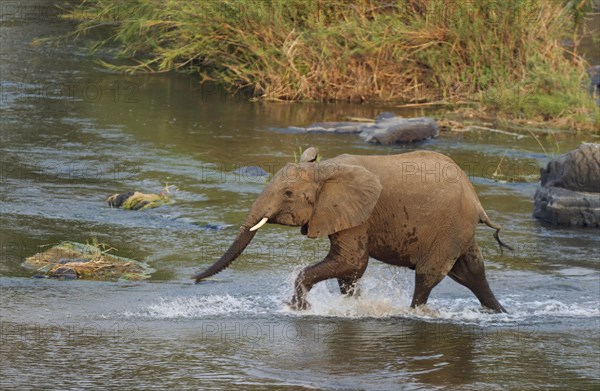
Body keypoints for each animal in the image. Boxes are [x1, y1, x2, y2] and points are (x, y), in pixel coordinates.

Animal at [196, 149, 510, 314]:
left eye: (287, 194)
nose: (194, 279)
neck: (324, 169)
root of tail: (477, 200)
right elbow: (350, 270)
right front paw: (352, 308)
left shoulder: (359, 212)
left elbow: (352, 261)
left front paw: (298, 309)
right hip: (458, 229)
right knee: (471, 271)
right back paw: (500, 313)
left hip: (449, 229)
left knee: (427, 276)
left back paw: (414, 313)